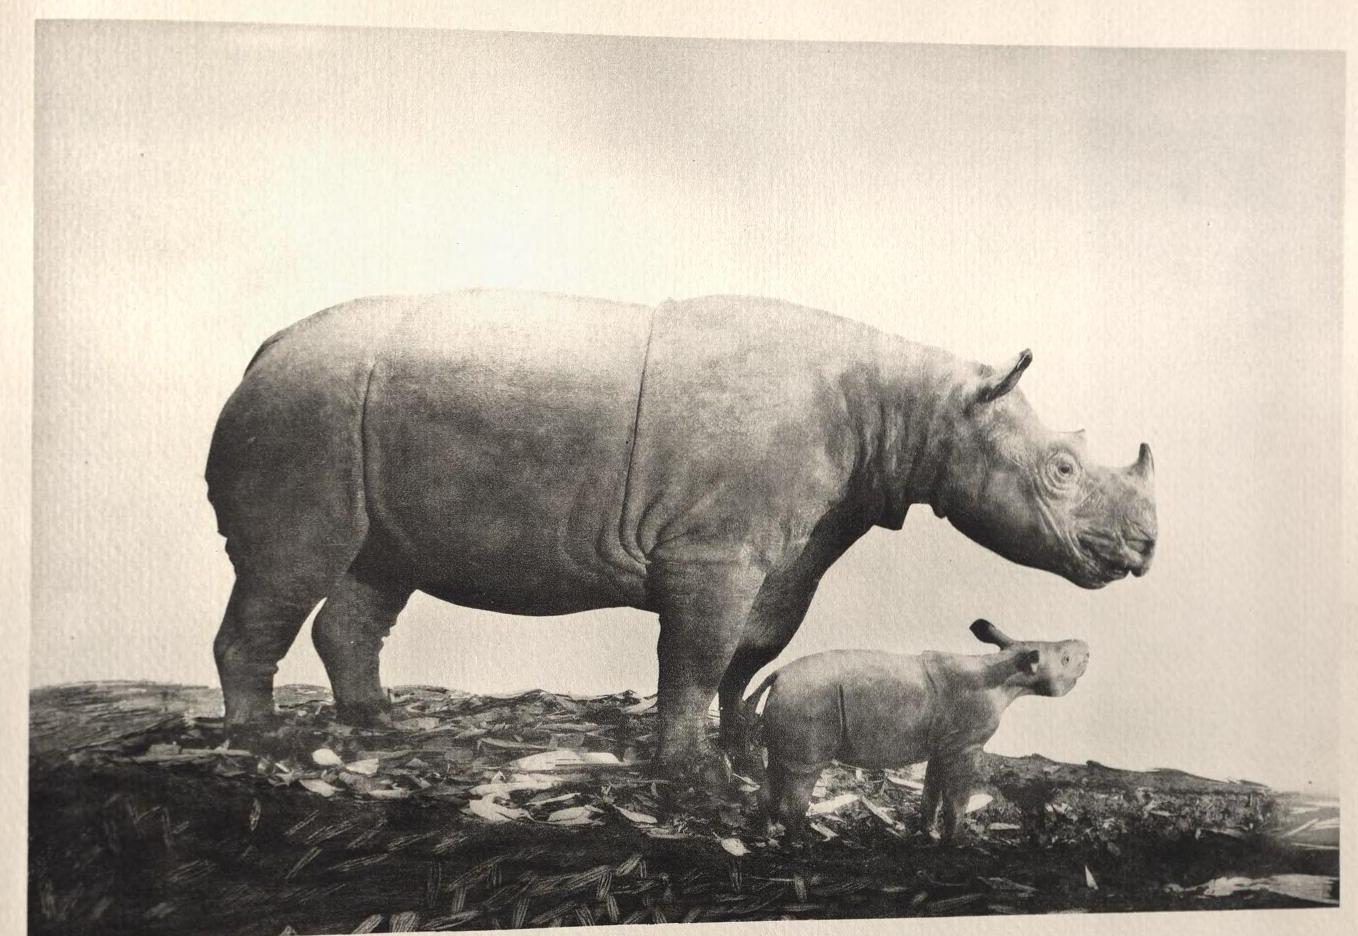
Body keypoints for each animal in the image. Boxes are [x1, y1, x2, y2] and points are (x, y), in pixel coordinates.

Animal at [205, 289, 1157, 779]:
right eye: (1061, 470)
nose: (1145, 550)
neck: (924, 408)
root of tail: (265, 346)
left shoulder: (792, 546)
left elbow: (753, 645)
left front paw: (745, 745)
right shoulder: (712, 551)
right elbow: (697, 652)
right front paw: (693, 776)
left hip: (351, 417)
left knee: (374, 570)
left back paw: (376, 723)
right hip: (306, 410)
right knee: (291, 567)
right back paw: (259, 743)